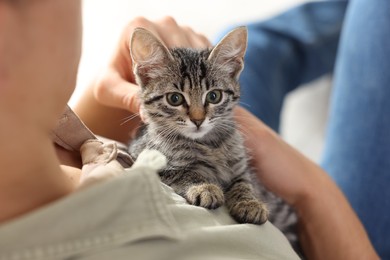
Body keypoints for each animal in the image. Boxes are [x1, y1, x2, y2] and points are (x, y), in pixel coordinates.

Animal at [129, 27, 286, 228]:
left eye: (214, 96)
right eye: (174, 98)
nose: (198, 120)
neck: (209, 144)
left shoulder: (240, 165)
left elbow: (244, 182)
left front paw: (249, 202)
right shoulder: (143, 157)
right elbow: (183, 173)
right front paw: (205, 188)